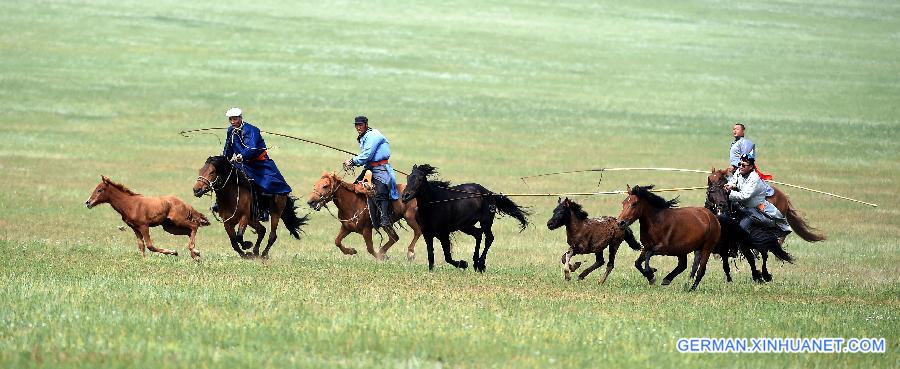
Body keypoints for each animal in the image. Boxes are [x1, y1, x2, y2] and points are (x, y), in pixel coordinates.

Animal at [400, 163, 528, 270]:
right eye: (408, 178)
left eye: (420, 179)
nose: (405, 196)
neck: (435, 203)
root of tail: (488, 192)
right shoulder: (427, 234)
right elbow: (431, 256)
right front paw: (431, 271)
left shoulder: (444, 233)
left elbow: (447, 256)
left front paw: (463, 264)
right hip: (465, 226)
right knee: (478, 234)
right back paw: (475, 263)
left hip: (486, 222)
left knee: (489, 238)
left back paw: (481, 264)